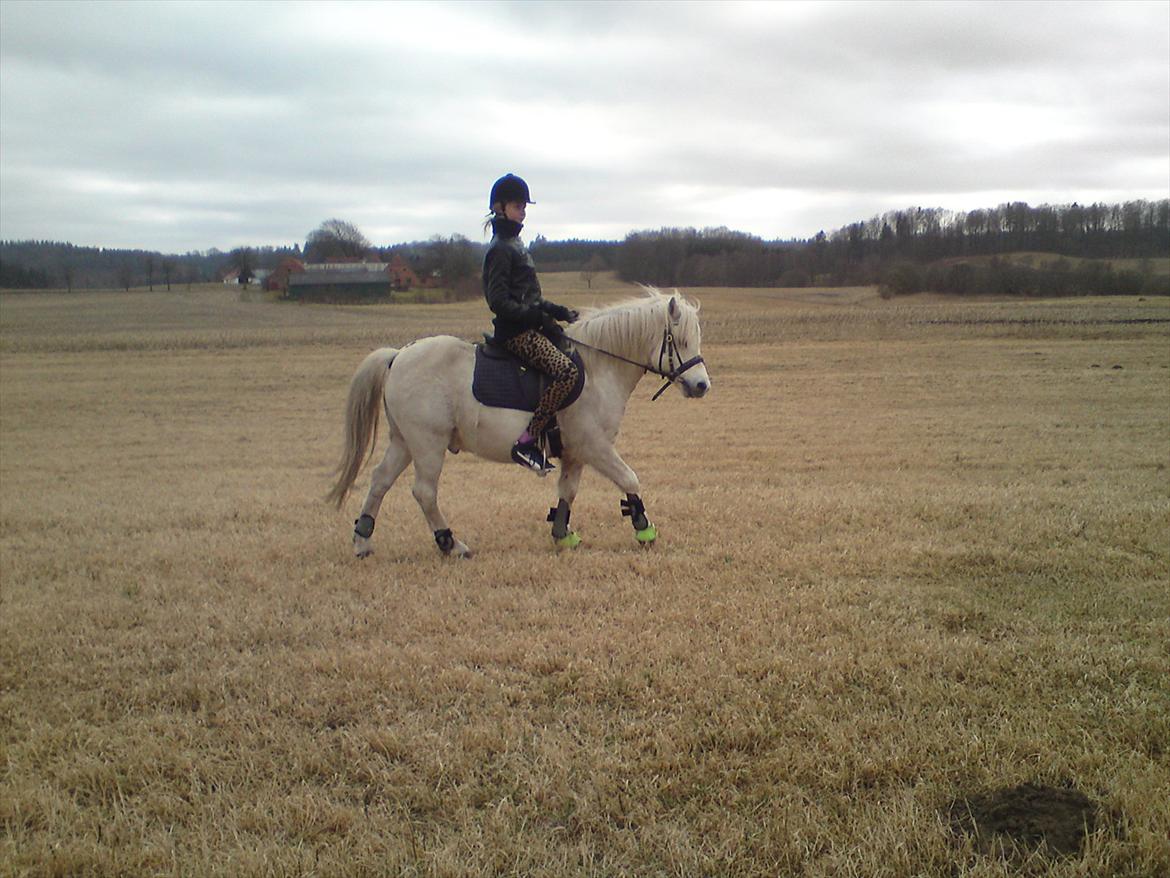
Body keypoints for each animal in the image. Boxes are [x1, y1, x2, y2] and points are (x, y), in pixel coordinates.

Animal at [326, 286, 710, 558]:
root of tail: (398, 355)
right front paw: (644, 528)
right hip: (427, 444)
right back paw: (451, 544)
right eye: (680, 340)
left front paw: (562, 535)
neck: (597, 366)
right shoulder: (594, 446)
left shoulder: (575, 453)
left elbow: (567, 492)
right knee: (424, 492)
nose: (702, 386)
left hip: (404, 442)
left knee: (379, 481)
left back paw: (363, 542)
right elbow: (630, 479)